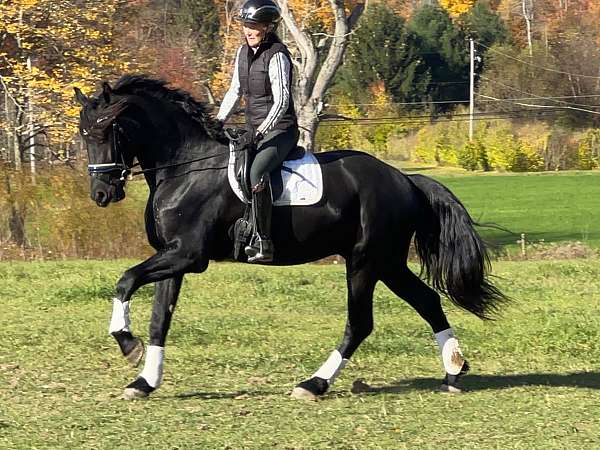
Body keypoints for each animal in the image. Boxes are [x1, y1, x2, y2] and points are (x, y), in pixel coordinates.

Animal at [74, 75, 506, 400]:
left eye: (109, 128)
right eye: (83, 133)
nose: (101, 194)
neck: (185, 167)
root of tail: (405, 180)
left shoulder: (187, 255)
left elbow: (126, 280)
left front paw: (127, 345)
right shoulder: (172, 257)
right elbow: (159, 320)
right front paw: (145, 381)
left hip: (366, 262)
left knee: (361, 323)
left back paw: (314, 384)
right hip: (388, 263)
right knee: (427, 301)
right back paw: (454, 373)